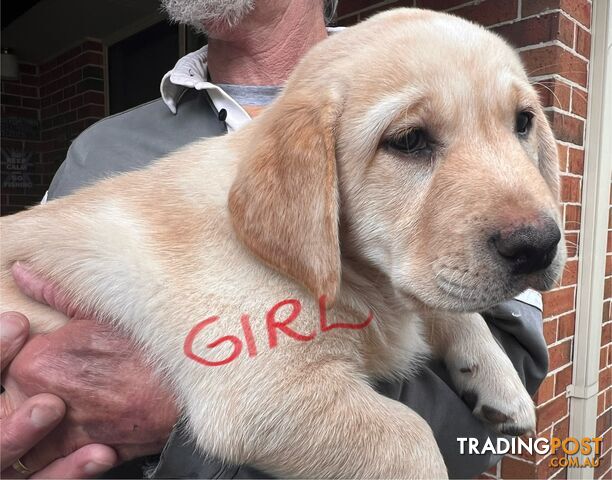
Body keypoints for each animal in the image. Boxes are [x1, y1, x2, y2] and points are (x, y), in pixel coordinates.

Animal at [0, 8, 564, 480]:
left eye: (523, 122)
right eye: (408, 141)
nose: (539, 246)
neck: (351, 275)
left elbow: (451, 309)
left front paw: (501, 383)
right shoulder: (266, 395)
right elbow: (411, 437)